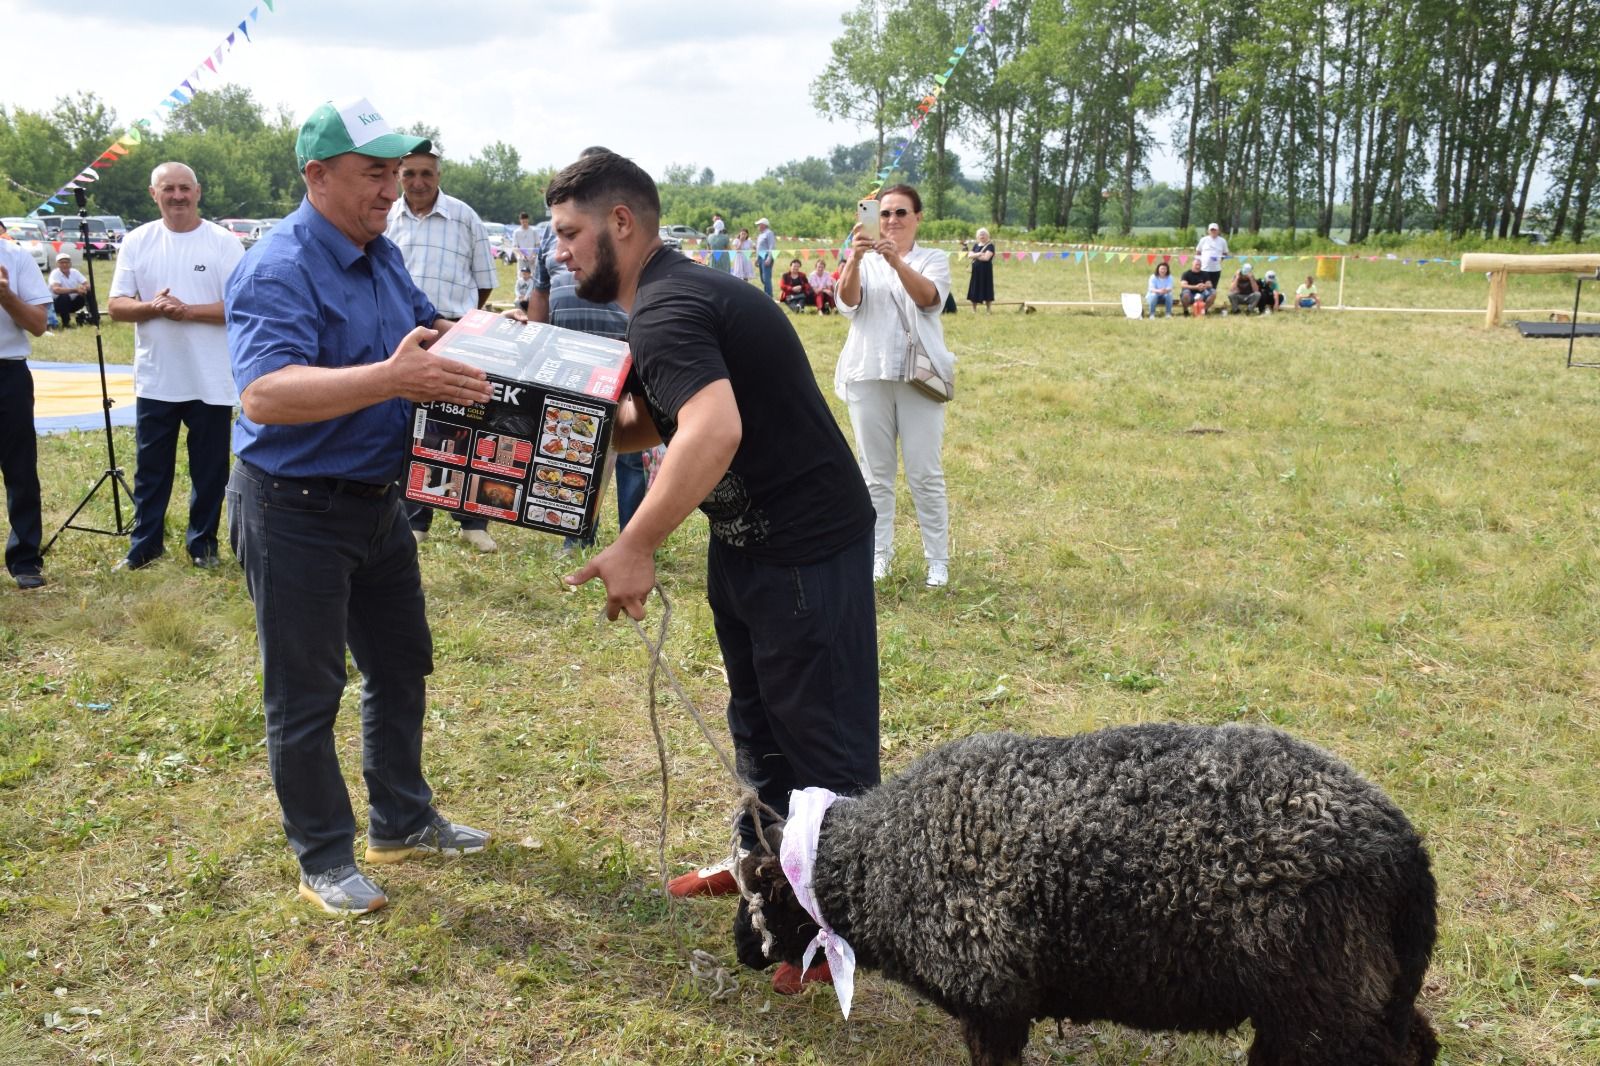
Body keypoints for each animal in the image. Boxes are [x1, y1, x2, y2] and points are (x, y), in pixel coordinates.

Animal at [732, 723, 1440, 1062]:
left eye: (760, 888)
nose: (741, 951)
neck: (882, 859)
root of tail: (1404, 846)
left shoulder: (994, 1000)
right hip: (1354, 996)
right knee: (1414, 1044)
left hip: (1321, 1000)